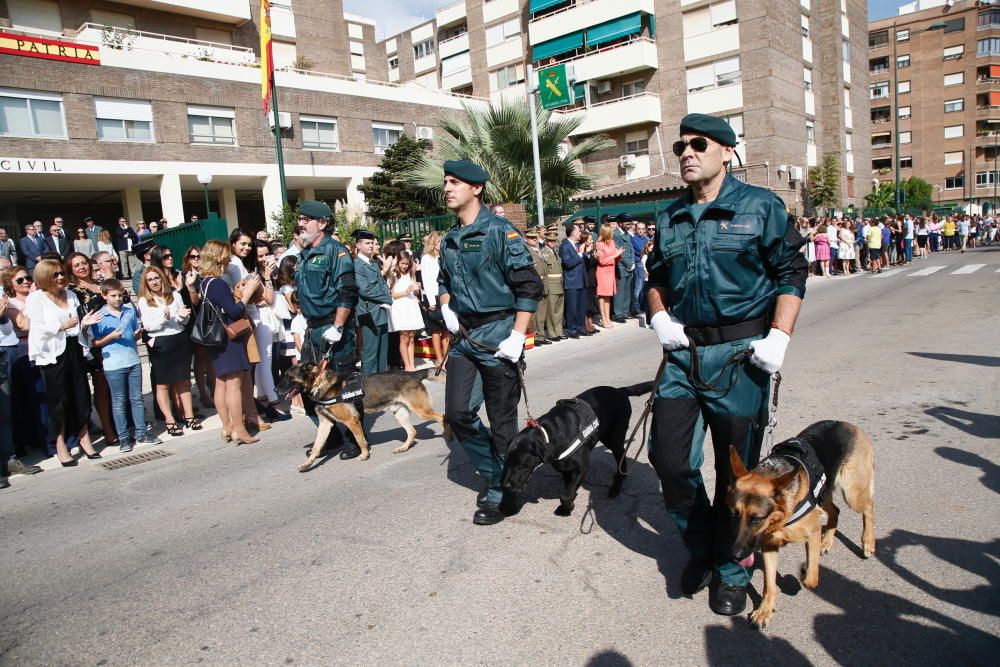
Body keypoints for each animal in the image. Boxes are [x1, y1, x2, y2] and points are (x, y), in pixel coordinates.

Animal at [282, 362, 454, 472]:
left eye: (289, 377)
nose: (277, 390)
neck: (319, 383)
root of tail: (413, 373)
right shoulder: (325, 424)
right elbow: (316, 447)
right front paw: (307, 464)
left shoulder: (352, 421)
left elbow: (360, 440)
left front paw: (364, 455)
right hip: (400, 413)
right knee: (412, 431)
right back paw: (403, 448)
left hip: (421, 410)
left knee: (443, 416)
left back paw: (448, 434)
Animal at [500, 380, 656, 516]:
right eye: (506, 463)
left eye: (521, 465)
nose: (505, 486)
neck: (549, 434)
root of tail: (619, 390)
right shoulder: (564, 466)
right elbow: (568, 489)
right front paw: (568, 504)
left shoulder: (582, 468)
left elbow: (565, 495)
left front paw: (566, 507)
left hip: (614, 438)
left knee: (622, 458)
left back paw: (616, 486)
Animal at [728, 420, 876, 628]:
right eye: (734, 513)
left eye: (756, 518)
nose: (735, 555)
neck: (780, 517)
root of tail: (846, 424)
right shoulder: (769, 547)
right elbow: (769, 584)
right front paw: (765, 610)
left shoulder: (812, 533)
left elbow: (811, 580)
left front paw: (804, 572)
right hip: (824, 496)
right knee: (836, 511)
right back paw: (827, 542)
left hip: (852, 493)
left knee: (868, 508)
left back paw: (868, 543)